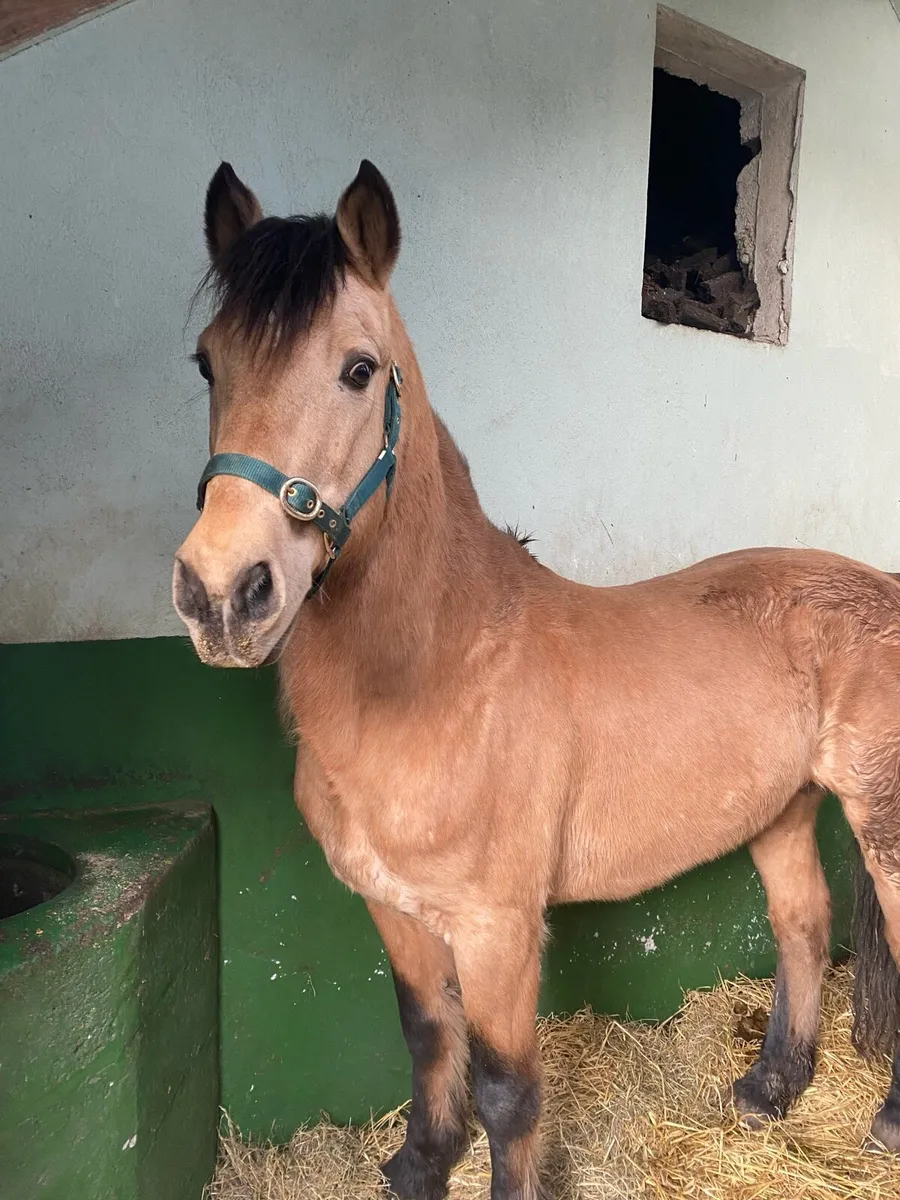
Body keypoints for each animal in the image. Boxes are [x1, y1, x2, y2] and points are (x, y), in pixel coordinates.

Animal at [173, 159, 900, 1200]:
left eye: (358, 369)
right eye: (207, 363)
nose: (223, 592)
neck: (442, 673)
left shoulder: (498, 929)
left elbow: (508, 1088)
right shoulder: (394, 910)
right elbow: (427, 1037)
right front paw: (419, 1164)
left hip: (882, 820)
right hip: (783, 808)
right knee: (802, 925)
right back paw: (770, 1089)